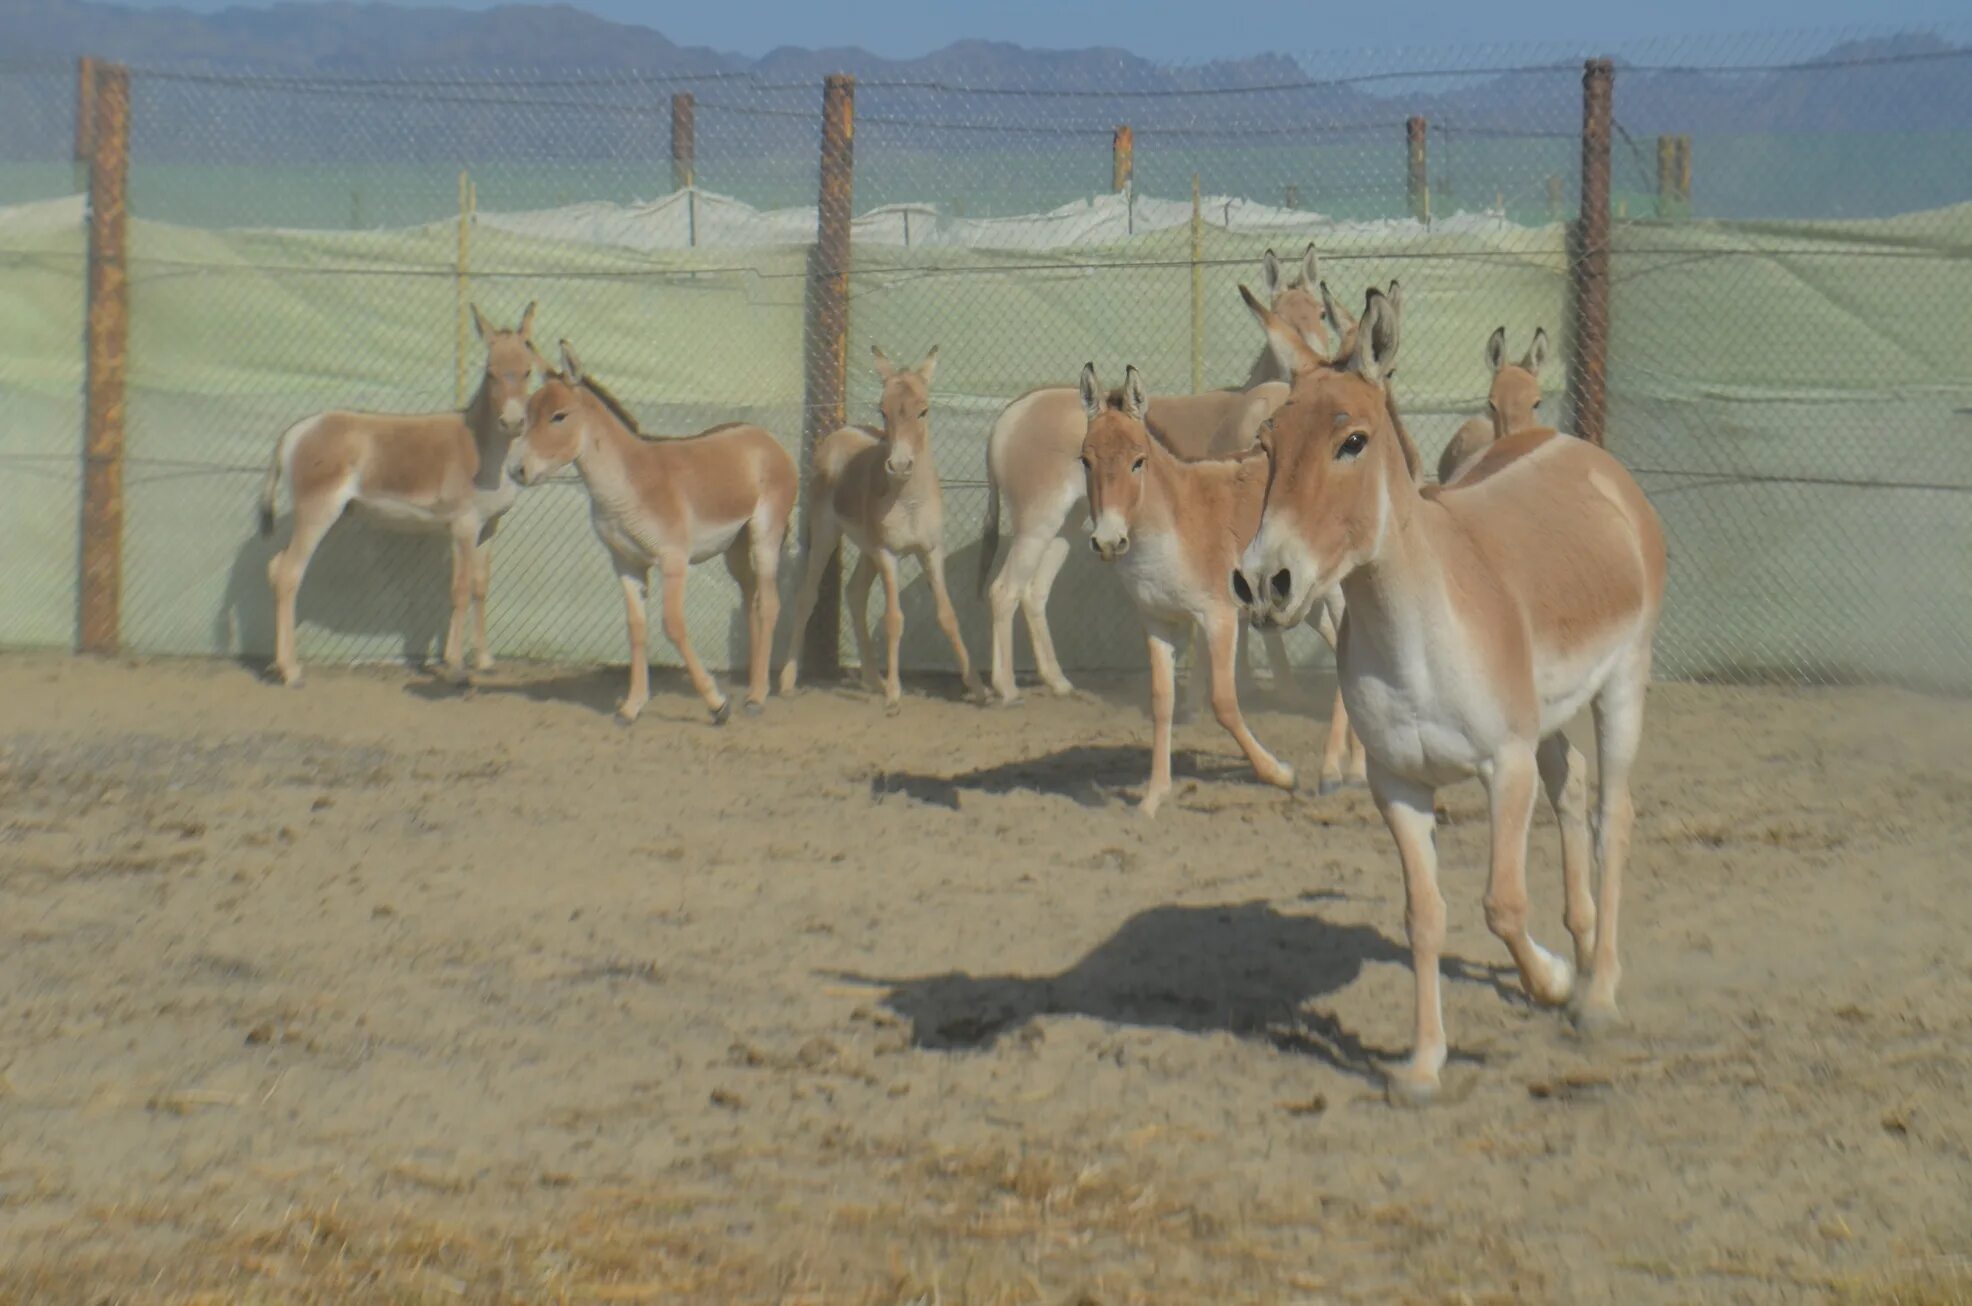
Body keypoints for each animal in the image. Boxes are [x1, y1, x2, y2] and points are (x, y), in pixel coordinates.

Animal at [260, 303, 548, 690]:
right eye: (490, 373)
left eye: (528, 371)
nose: (514, 423)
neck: (484, 448)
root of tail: (295, 430)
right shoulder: (463, 526)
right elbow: (458, 590)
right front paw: (454, 666)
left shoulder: (489, 527)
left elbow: (479, 587)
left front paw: (485, 661)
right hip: (317, 511)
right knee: (288, 572)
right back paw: (291, 671)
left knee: (278, 568)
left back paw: (281, 665)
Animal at [508, 343, 800, 725]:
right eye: (527, 415)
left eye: (559, 416)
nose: (516, 470)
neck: (628, 484)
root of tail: (762, 436)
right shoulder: (625, 563)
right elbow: (636, 628)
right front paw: (632, 706)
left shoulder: (673, 559)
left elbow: (672, 624)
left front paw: (717, 705)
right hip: (734, 547)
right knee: (751, 598)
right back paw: (754, 684)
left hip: (765, 534)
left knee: (769, 603)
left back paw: (757, 698)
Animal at [776, 347, 978, 710]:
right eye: (883, 410)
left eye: (924, 410)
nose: (899, 466)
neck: (910, 500)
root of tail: (842, 431)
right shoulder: (888, 553)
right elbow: (894, 619)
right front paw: (895, 694)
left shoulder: (931, 550)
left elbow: (947, 614)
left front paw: (979, 687)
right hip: (828, 533)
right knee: (806, 596)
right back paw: (787, 680)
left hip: (867, 548)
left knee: (855, 592)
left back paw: (872, 679)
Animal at [1072, 362, 1301, 820]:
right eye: (1085, 460)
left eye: (1138, 461)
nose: (1107, 541)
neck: (1174, 524)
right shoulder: (1157, 622)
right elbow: (1162, 702)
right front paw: (1153, 797)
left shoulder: (1220, 618)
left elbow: (1224, 702)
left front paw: (1279, 773)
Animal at [1238, 291, 1656, 1112]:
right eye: (1268, 443)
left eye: (1353, 441)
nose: (1265, 582)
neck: (1416, 639)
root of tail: (1580, 452)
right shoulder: (1397, 783)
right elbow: (1423, 918)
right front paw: (1423, 1065)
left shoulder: (1505, 766)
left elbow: (1501, 903)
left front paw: (1552, 979)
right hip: (1547, 716)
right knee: (1574, 786)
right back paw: (1586, 937)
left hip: (1623, 682)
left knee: (1612, 817)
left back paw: (1596, 994)